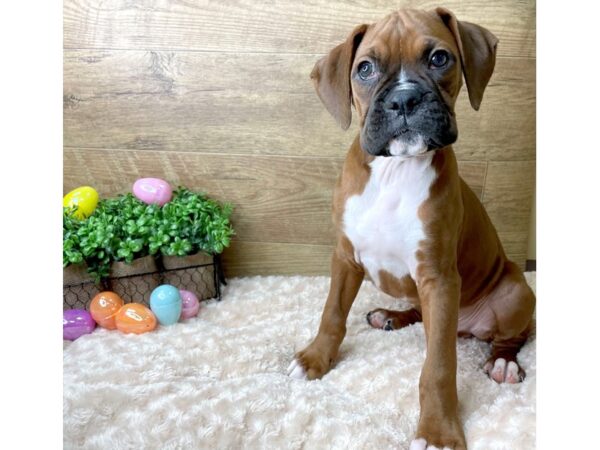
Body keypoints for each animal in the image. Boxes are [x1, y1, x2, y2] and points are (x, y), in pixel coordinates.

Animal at [288, 7, 536, 450]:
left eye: (439, 59)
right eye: (365, 68)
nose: (403, 98)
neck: (395, 170)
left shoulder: (437, 278)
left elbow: (437, 366)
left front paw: (438, 430)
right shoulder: (345, 258)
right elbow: (332, 313)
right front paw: (316, 358)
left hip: (514, 292)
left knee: (512, 336)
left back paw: (503, 363)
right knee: (418, 313)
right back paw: (391, 315)